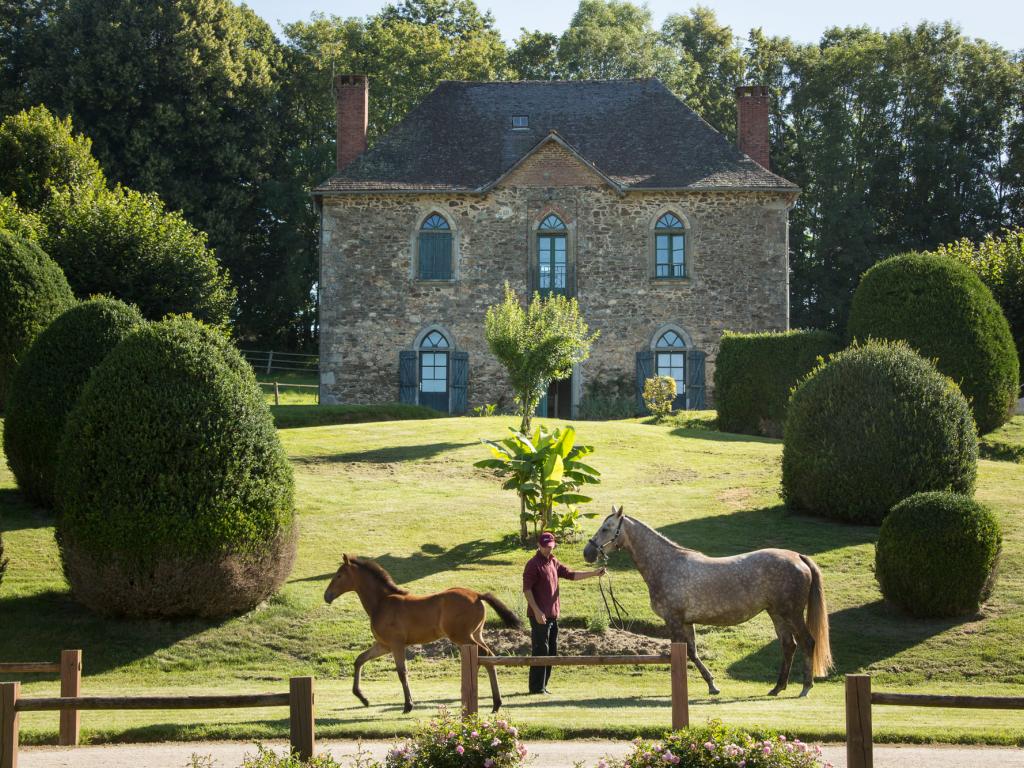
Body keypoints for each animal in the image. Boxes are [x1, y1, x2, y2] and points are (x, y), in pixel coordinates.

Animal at [325, 557, 524, 712]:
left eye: (339, 575)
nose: (326, 596)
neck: (381, 603)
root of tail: (477, 594)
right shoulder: (383, 645)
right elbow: (360, 660)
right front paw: (362, 698)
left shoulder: (396, 644)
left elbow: (402, 672)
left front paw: (408, 705)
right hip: (475, 635)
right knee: (487, 657)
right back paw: (493, 702)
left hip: (462, 636)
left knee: (485, 656)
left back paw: (493, 701)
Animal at [585, 512, 831, 696]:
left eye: (606, 528)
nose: (588, 552)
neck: (666, 565)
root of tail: (798, 557)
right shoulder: (686, 622)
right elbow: (692, 653)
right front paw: (712, 685)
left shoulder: (674, 621)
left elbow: (682, 653)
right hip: (777, 614)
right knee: (789, 646)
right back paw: (777, 688)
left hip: (792, 614)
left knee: (808, 642)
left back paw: (805, 688)